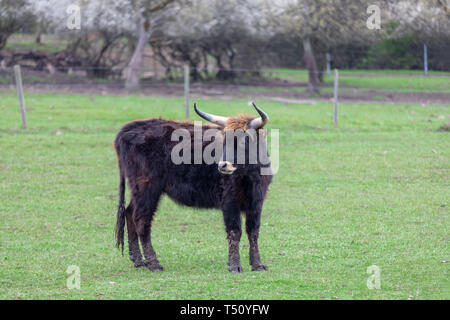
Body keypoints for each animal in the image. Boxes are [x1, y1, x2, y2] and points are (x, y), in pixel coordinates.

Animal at [114, 102, 272, 272]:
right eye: (224, 141)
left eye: (245, 140)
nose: (223, 165)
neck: (249, 176)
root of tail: (129, 129)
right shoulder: (230, 201)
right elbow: (234, 231)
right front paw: (234, 265)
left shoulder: (257, 202)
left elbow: (253, 231)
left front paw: (257, 264)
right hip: (147, 189)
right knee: (141, 220)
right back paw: (153, 263)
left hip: (138, 190)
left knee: (129, 213)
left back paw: (138, 260)